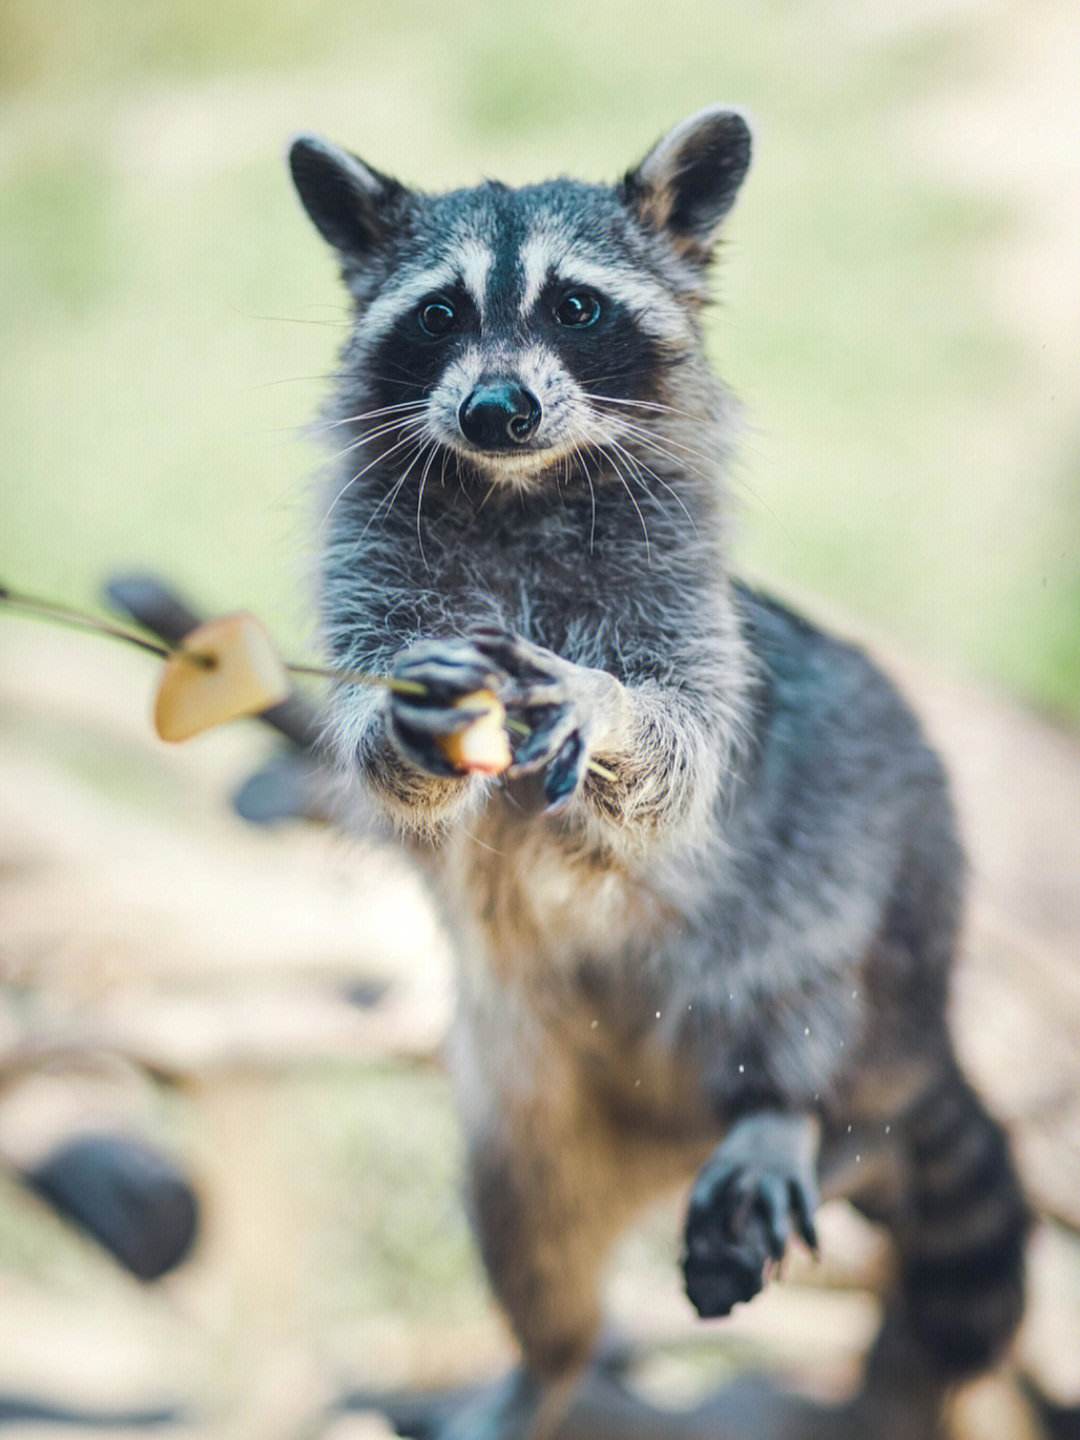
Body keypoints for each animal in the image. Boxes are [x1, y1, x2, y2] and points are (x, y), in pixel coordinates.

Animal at [288, 106, 1031, 1434]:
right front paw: (400, 734)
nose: (495, 408)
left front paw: (611, 708)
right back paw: (544, 1370)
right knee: (536, 1262)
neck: (516, 489)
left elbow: (687, 750)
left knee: (822, 1000)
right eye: (439, 313)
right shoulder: (375, 575)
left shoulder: (678, 597)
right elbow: (377, 747)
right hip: (526, 1118)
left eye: (575, 306)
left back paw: (790, 1110)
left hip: (876, 899)